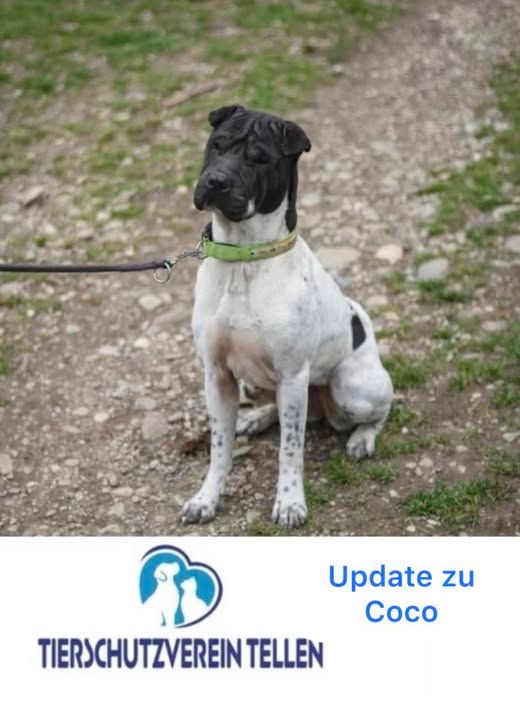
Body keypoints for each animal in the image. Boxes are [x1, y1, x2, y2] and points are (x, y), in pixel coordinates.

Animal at [181, 104, 393, 528]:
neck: (243, 258)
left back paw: (361, 439)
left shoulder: (294, 376)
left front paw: (291, 503)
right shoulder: (217, 374)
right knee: (278, 412)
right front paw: (207, 498)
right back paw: (254, 418)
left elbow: (290, 450)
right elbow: (218, 448)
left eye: (258, 158)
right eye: (217, 144)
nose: (214, 181)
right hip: (255, 385)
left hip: (350, 387)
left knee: (380, 411)